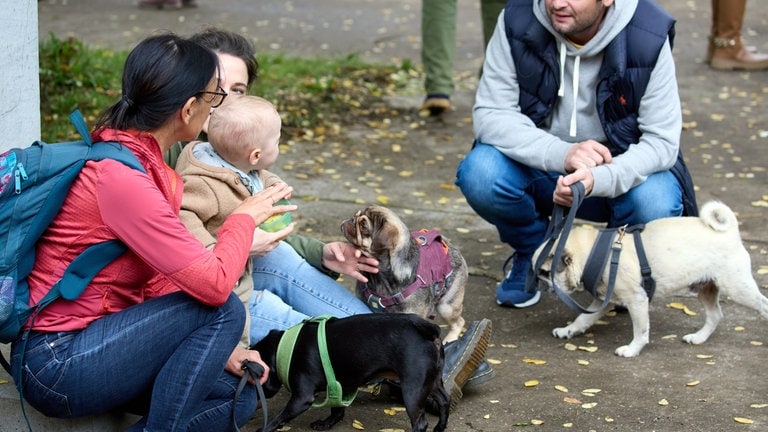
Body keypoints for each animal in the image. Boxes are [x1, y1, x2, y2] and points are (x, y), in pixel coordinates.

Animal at [250, 314, 450, 432]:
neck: (284, 348)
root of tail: (429, 331)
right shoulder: (339, 386)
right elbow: (337, 409)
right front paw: (326, 423)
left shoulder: (301, 398)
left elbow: (280, 417)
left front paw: (264, 429)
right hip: (432, 382)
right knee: (444, 400)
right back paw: (440, 427)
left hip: (412, 390)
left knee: (420, 422)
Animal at [342, 206, 468, 344]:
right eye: (355, 215)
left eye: (363, 226)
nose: (352, 220)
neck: (379, 276)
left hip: (446, 307)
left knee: (459, 322)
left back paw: (450, 339)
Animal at [536, 202, 768, 358]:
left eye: (545, 273)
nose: (537, 285)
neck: (599, 252)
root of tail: (731, 233)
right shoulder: (605, 300)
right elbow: (583, 318)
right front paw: (568, 330)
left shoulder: (637, 300)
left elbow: (640, 329)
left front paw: (632, 349)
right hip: (706, 288)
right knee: (715, 315)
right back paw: (698, 337)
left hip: (737, 288)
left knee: (763, 304)